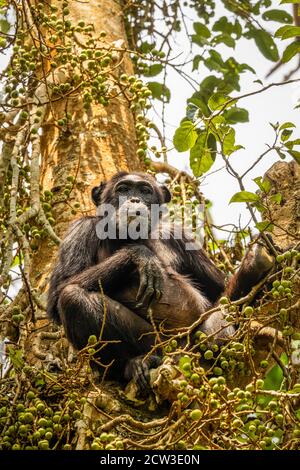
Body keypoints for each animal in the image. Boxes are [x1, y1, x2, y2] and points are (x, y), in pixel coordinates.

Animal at [47, 173, 274, 390]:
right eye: (123, 189)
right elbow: (60, 290)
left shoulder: (179, 235)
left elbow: (217, 290)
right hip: (154, 344)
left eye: (145, 191)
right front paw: (141, 255)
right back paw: (134, 364)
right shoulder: (80, 229)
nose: (135, 199)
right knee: (72, 297)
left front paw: (252, 266)